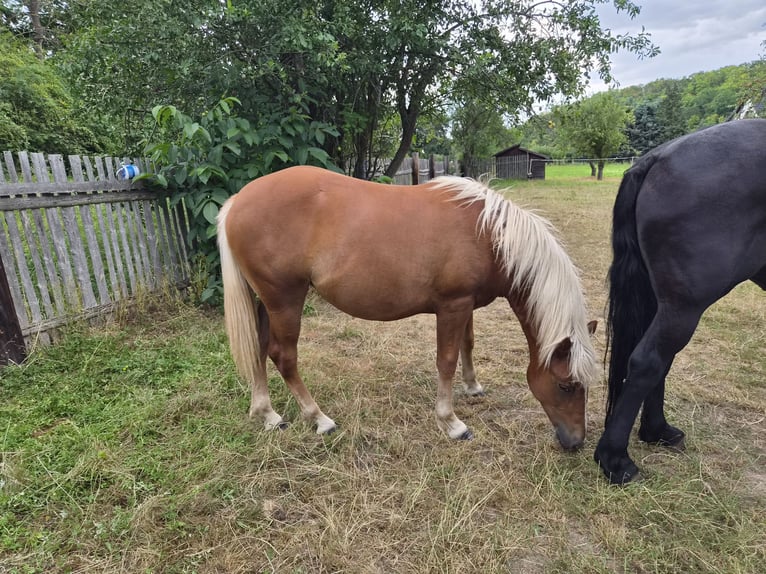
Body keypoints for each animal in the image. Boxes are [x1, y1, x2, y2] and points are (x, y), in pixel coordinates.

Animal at [217, 165, 598, 448]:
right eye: (566, 385)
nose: (576, 442)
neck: (488, 234)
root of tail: (237, 201)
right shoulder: (453, 306)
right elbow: (446, 360)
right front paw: (452, 422)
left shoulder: (466, 305)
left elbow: (467, 344)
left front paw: (473, 387)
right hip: (285, 301)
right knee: (283, 356)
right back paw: (319, 419)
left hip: (267, 302)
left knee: (259, 348)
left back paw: (268, 415)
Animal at [595, 118, 766, 484]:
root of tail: (657, 157)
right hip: (684, 305)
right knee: (648, 361)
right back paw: (615, 459)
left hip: (667, 304)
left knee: (660, 360)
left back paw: (657, 431)